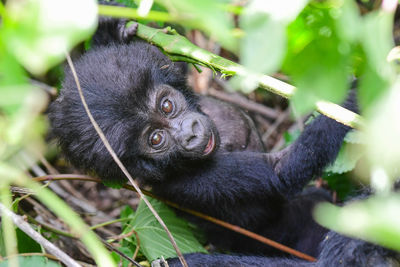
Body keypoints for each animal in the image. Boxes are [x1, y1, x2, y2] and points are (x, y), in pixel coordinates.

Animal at [48, 24, 398, 266]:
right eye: (156, 139)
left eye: (166, 106)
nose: (189, 134)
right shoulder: (191, 182)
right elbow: (282, 169)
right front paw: (362, 90)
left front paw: (114, 29)